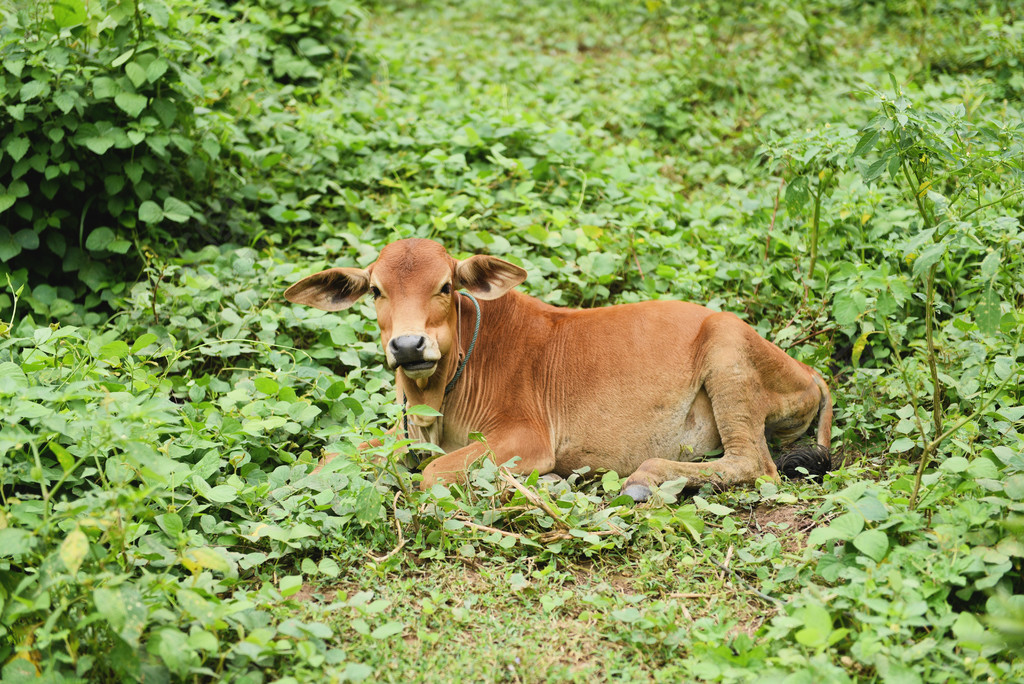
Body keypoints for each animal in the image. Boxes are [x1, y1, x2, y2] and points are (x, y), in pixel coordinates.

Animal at [284, 239, 827, 501]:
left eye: (445, 286)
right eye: (376, 290)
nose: (407, 344)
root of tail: (807, 371)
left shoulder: (526, 438)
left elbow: (433, 474)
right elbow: (329, 458)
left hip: (727, 359)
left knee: (754, 465)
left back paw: (644, 480)